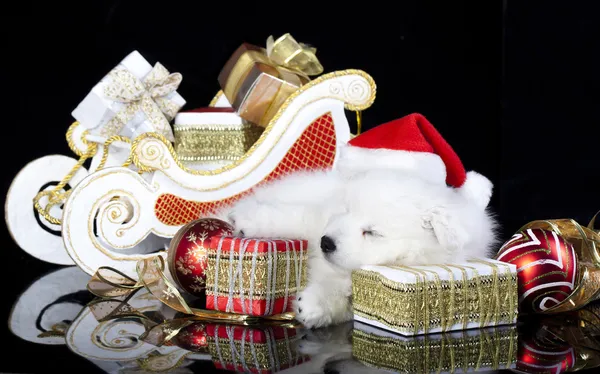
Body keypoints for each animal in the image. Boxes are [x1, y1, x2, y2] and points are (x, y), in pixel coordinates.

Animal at [218, 167, 500, 328]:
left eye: (372, 232)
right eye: (347, 209)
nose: (326, 242)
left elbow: (344, 300)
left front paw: (313, 306)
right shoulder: (317, 216)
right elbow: (294, 217)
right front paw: (249, 221)